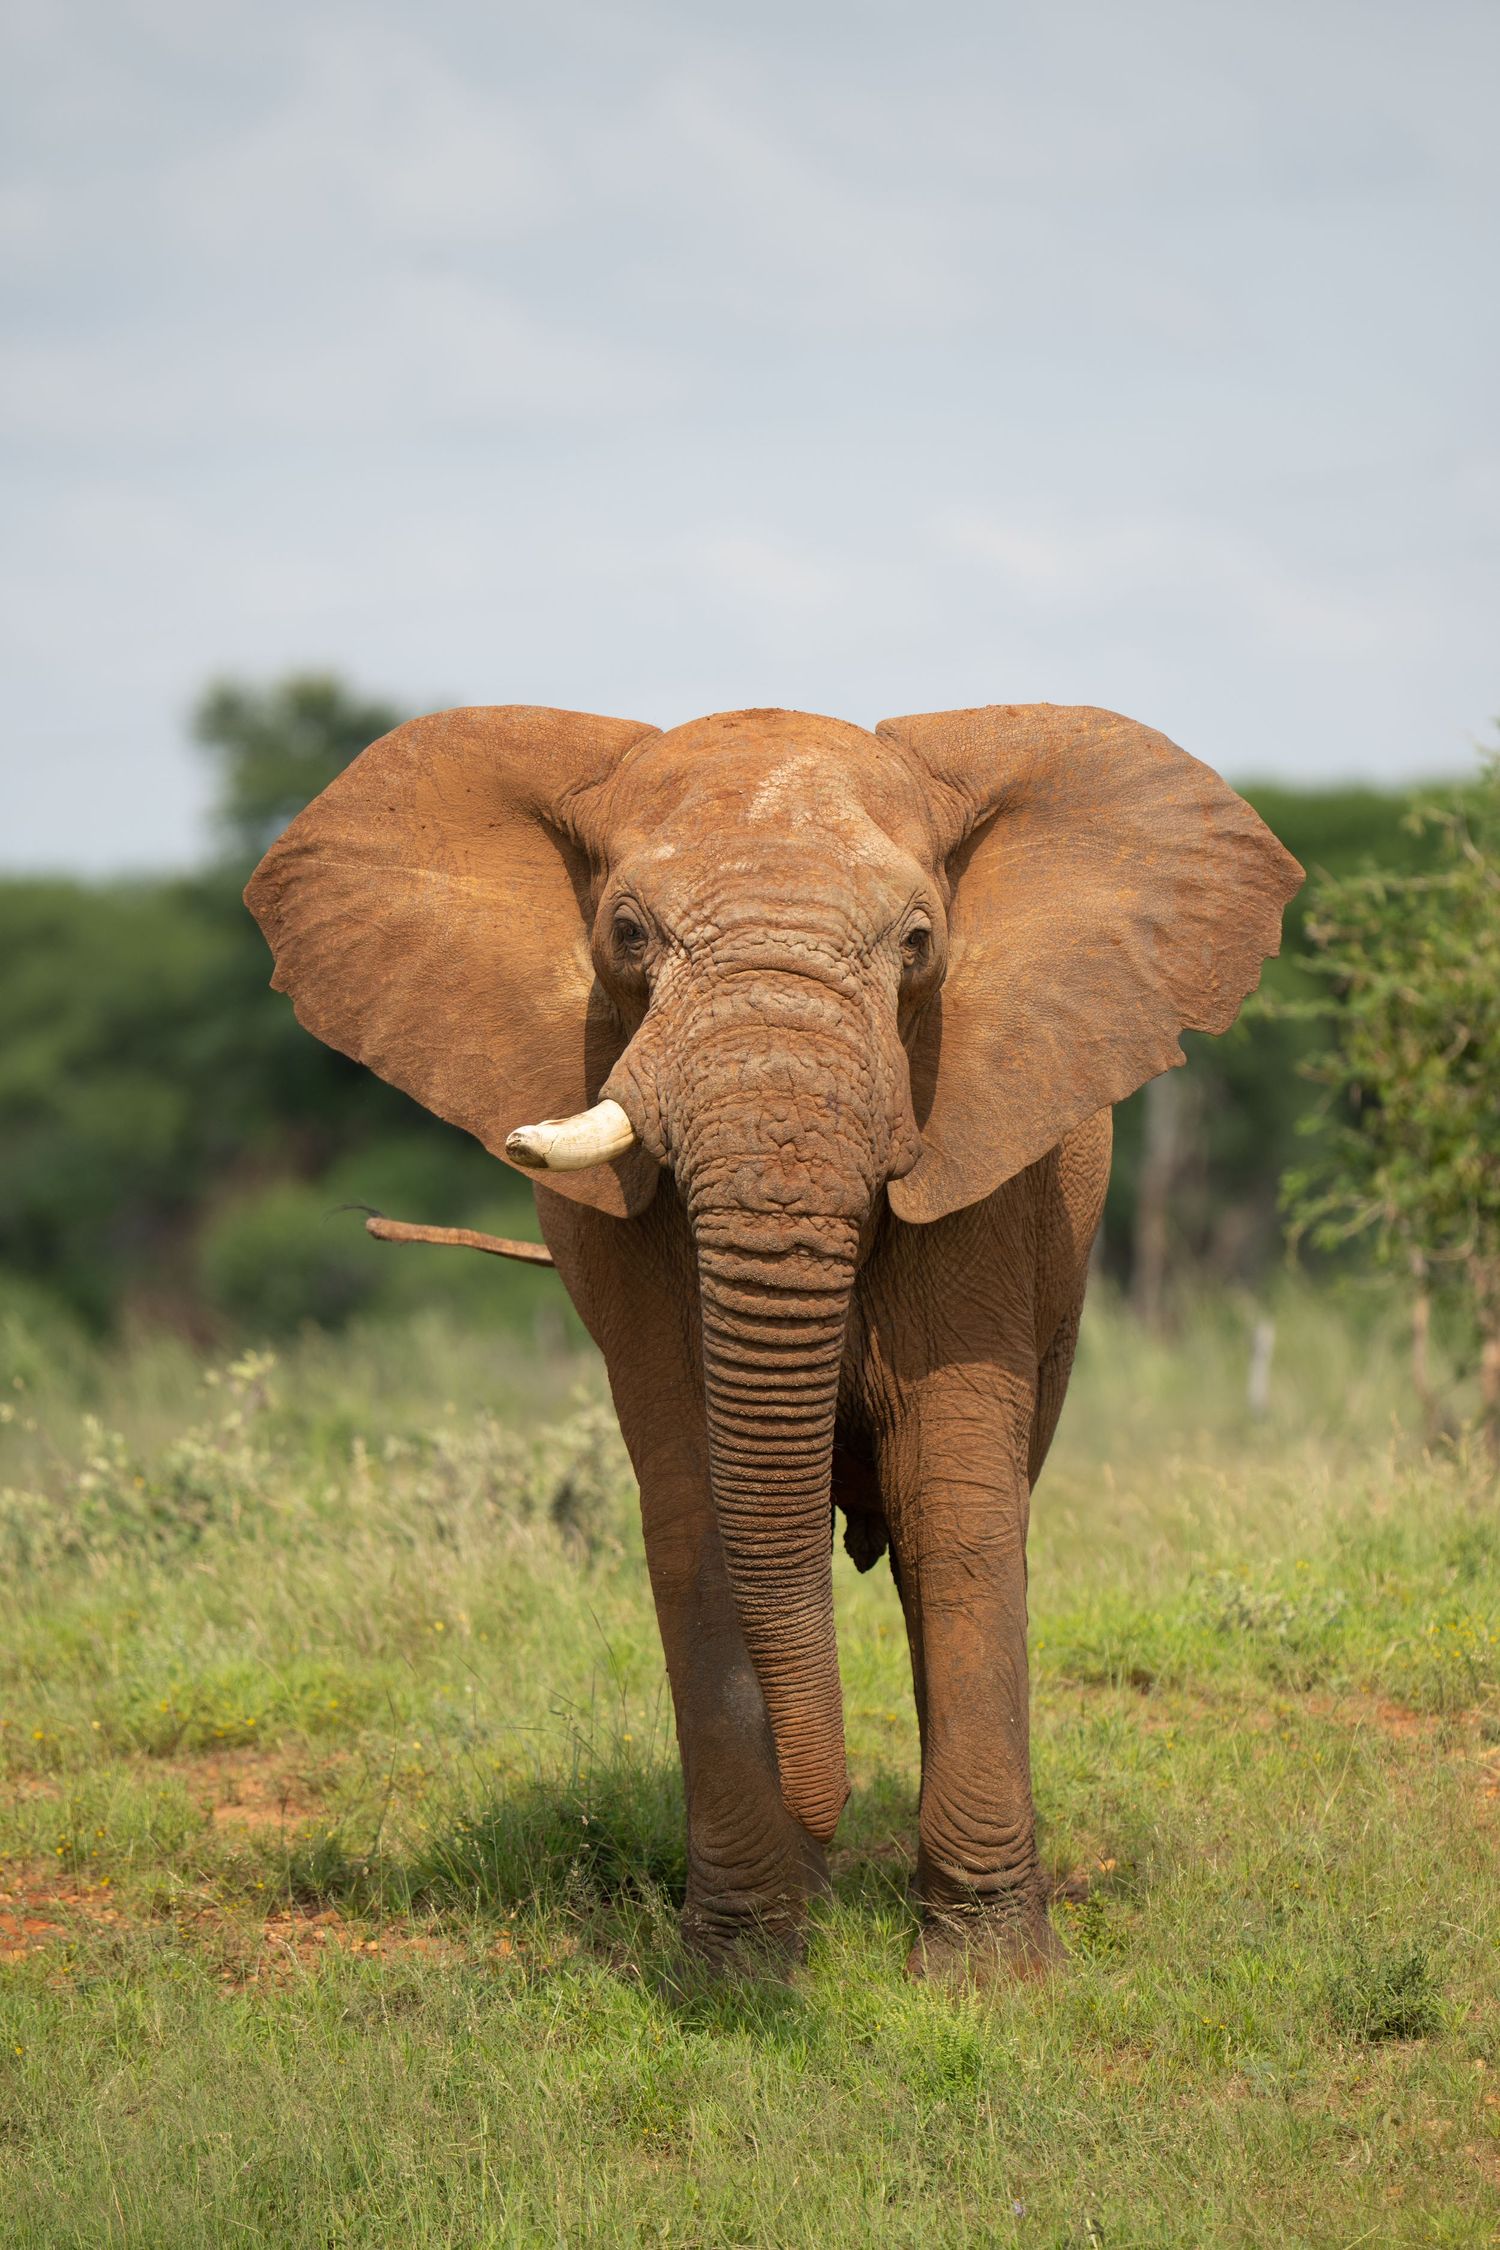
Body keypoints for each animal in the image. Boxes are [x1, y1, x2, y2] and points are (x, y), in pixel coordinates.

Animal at [246, 701, 1301, 1983]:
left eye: (919, 943)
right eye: (626, 934)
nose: (833, 1808)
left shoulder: (993, 1154)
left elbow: (953, 1496)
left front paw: (991, 1983)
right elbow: (698, 1503)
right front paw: (744, 1966)